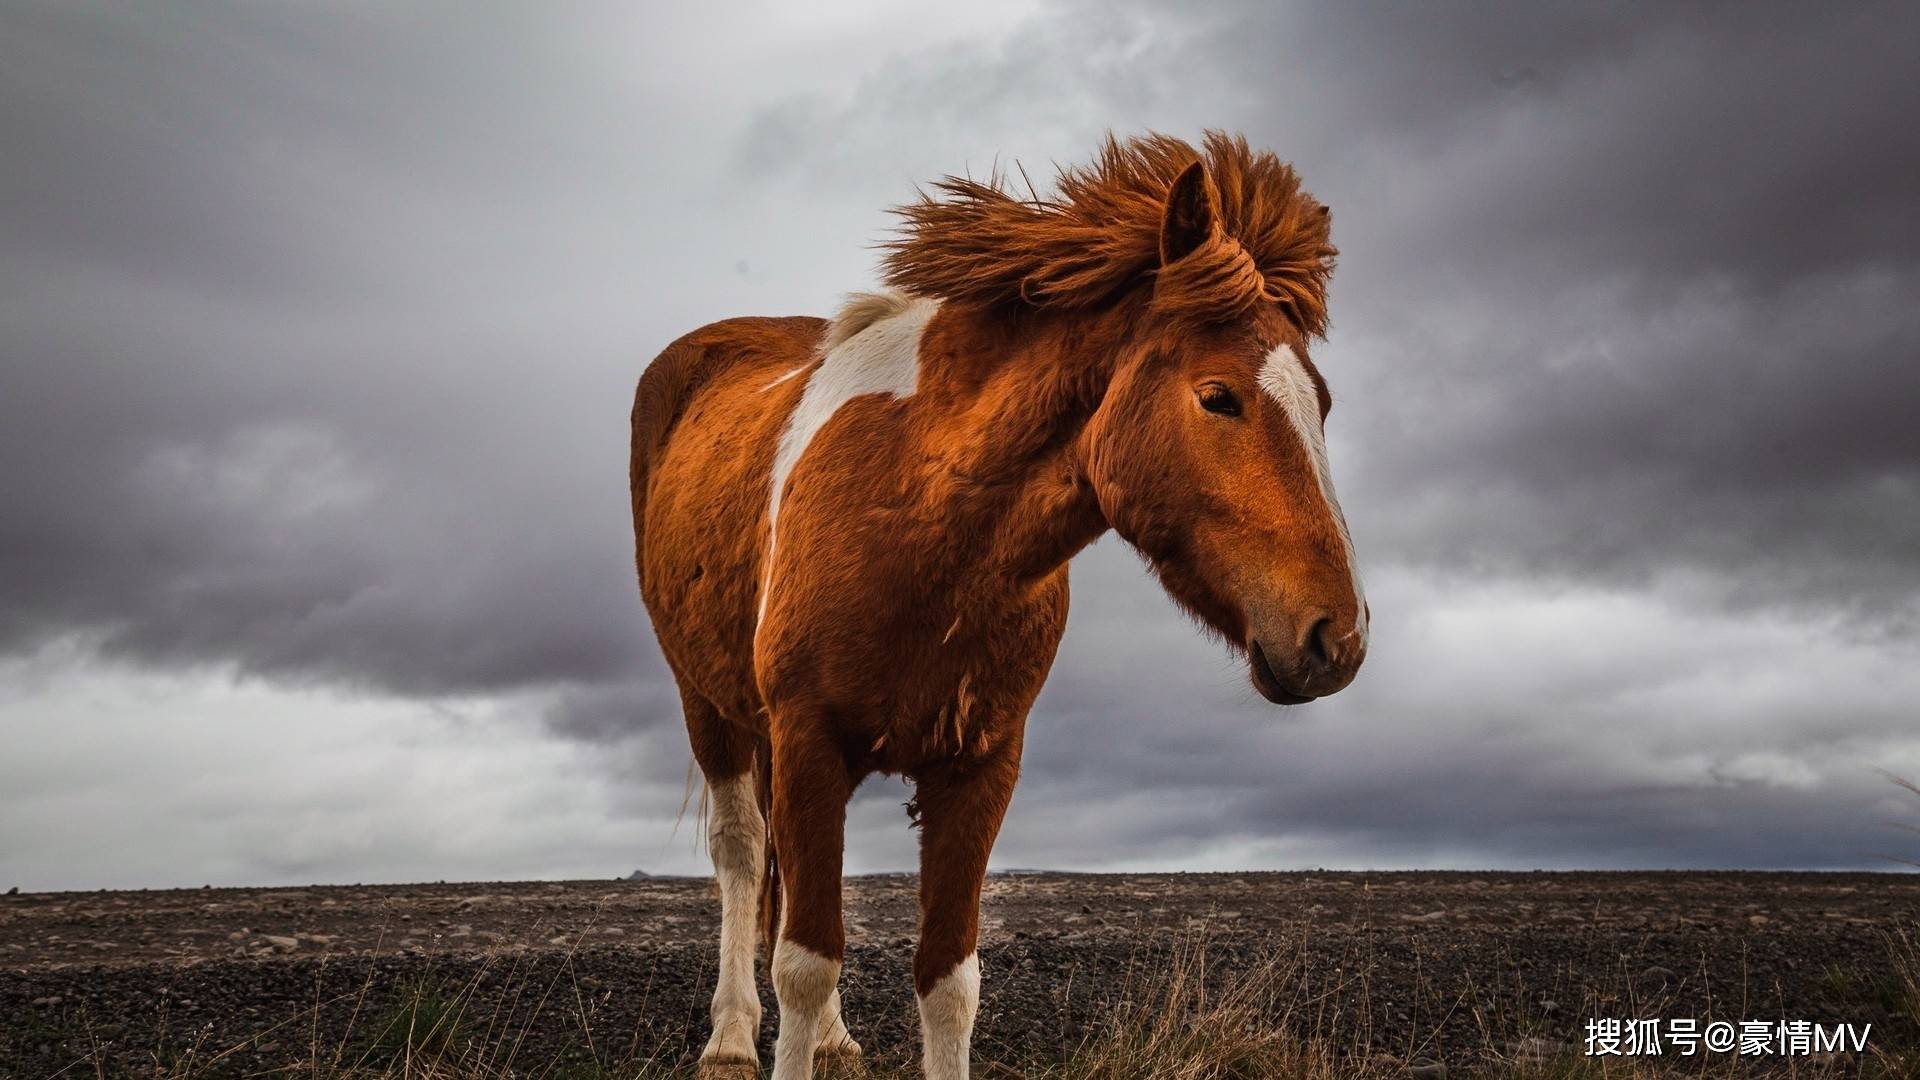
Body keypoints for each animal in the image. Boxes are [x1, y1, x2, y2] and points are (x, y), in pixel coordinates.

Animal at [629, 132, 1367, 1076]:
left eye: (1325, 403)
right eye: (1218, 395)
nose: (1338, 637)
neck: (920, 515)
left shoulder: (982, 764)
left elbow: (948, 981)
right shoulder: (807, 741)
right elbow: (804, 960)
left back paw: (833, 1039)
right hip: (710, 706)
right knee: (743, 852)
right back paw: (728, 1039)